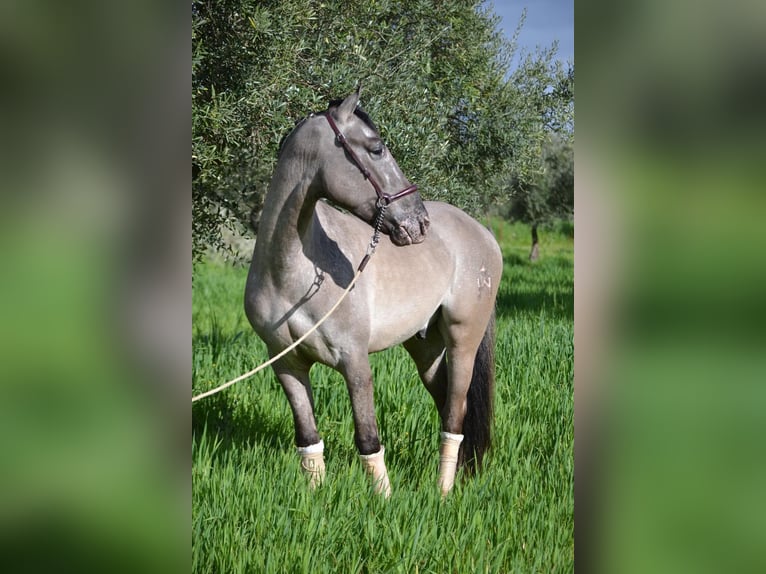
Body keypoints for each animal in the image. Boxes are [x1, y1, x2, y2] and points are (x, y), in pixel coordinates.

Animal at [244, 89, 502, 497]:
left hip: (464, 341)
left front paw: (384, 499)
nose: (420, 222)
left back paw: (443, 491)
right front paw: (315, 498)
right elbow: (308, 440)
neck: (291, 272)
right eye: (377, 148)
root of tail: (483, 233)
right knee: (448, 404)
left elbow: (368, 439)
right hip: (426, 349)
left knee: (455, 413)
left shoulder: (355, 362)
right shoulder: (287, 364)